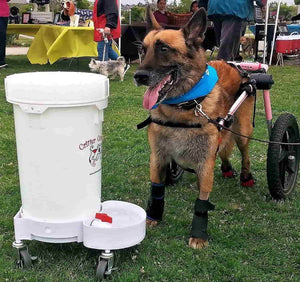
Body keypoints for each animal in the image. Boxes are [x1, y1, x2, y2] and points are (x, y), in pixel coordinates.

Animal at [135, 7, 254, 249]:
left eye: (163, 48)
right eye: (143, 49)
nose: (138, 76)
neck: (182, 107)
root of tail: (236, 66)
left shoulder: (204, 164)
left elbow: (202, 201)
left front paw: (199, 234)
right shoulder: (158, 157)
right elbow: (156, 188)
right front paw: (153, 216)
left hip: (243, 131)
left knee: (244, 152)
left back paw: (246, 176)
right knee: (224, 150)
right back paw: (227, 168)